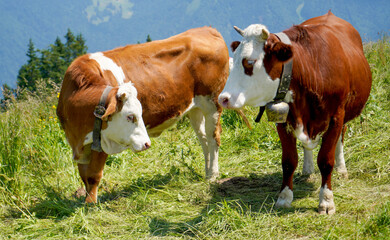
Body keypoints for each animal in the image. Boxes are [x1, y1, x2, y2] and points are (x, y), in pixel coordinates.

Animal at [56, 26, 230, 202]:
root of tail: (206, 29)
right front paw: (85, 201)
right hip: (195, 109)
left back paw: (213, 176)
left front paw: (91, 204)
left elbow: (93, 175)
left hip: (212, 102)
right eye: (130, 116)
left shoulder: (101, 141)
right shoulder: (76, 142)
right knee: (204, 139)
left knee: (213, 138)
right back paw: (207, 173)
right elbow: (84, 176)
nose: (147, 143)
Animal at [218, 10, 374, 214]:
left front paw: (326, 201)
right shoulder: (283, 120)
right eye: (233, 59)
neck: (310, 69)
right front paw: (284, 197)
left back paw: (341, 169)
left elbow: (326, 160)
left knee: (342, 135)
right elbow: (289, 160)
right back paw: (307, 169)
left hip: (345, 114)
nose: (223, 98)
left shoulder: (336, 117)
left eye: (250, 62)